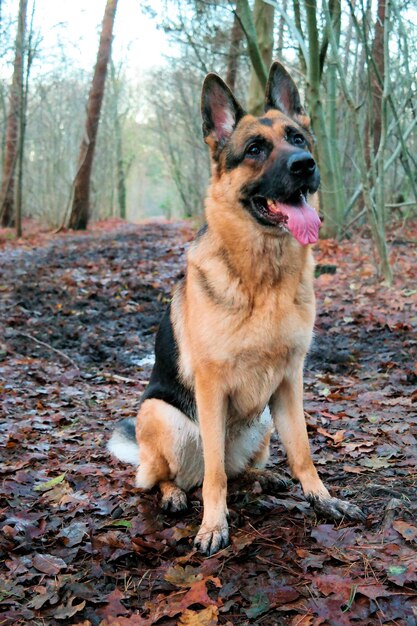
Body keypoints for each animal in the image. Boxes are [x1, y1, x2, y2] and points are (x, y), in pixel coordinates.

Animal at [108, 62, 364, 552]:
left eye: (297, 138)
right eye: (254, 149)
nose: (305, 165)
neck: (264, 278)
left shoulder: (289, 381)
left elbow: (303, 452)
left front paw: (322, 499)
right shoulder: (211, 388)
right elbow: (213, 477)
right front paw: (213, 524)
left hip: (263, 419)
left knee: (239, 469)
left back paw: (266, 479)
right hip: (163, 416)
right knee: (169, 476)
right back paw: (174, 495)